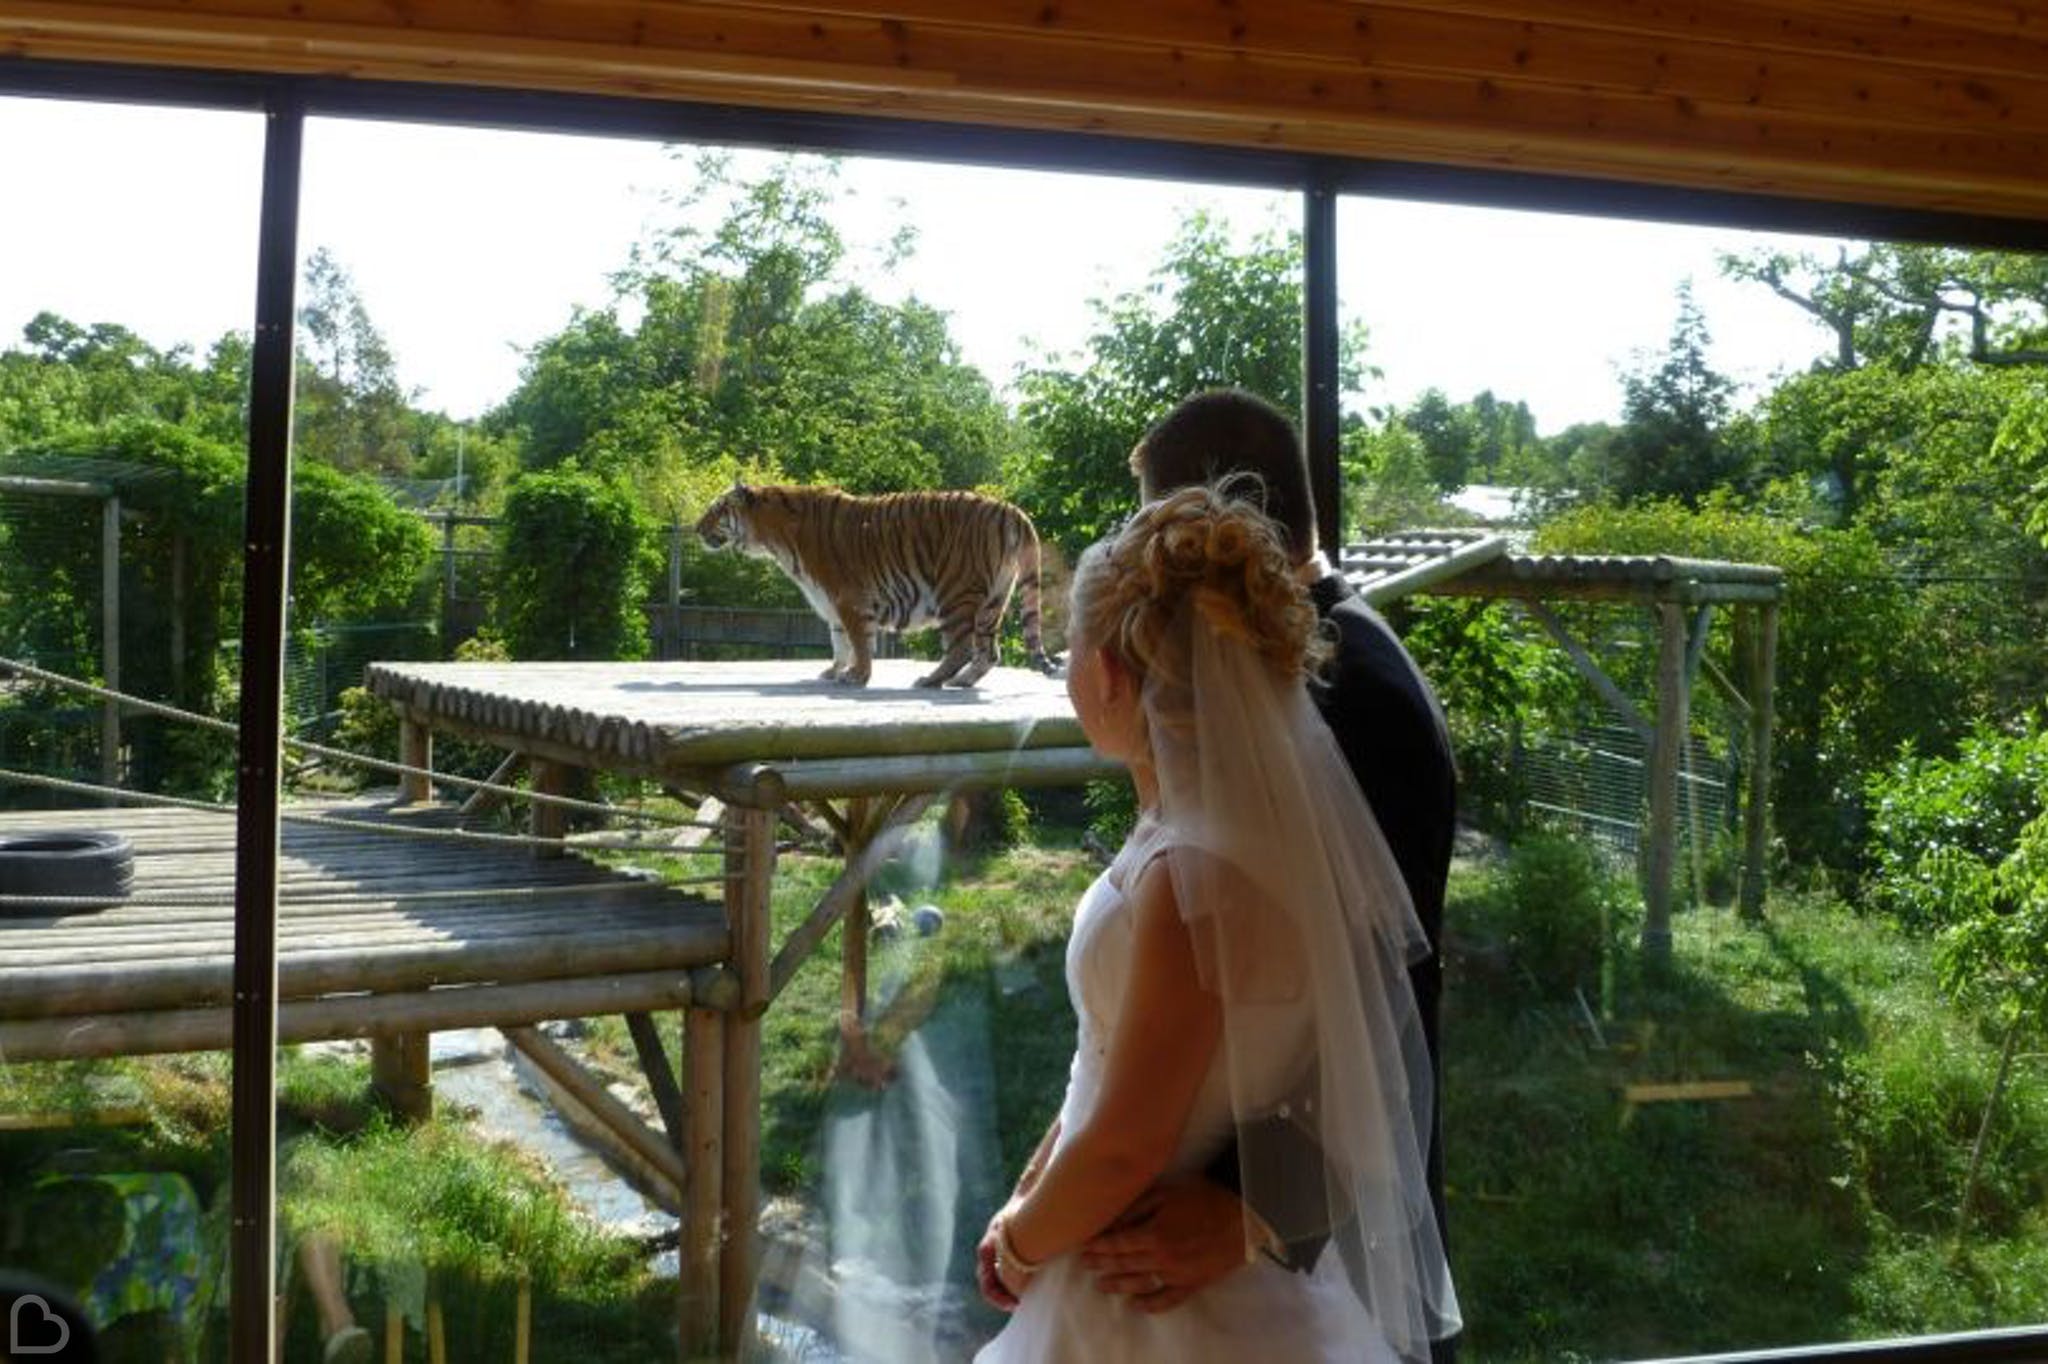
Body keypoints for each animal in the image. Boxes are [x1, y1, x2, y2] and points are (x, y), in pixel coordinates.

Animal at [700, 483, 1064, 684]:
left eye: (717, 510)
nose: (695, 527)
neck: (773, 538)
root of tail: (1011, 509)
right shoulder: (831, 603)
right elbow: (839, 642)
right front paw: (834, 671)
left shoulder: (849, 598)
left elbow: (860, 642)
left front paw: (857, 676)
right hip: (994, 599)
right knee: (989, 652)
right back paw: (961, 683)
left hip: (956, 590)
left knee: (961, 646)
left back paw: (930, 681)